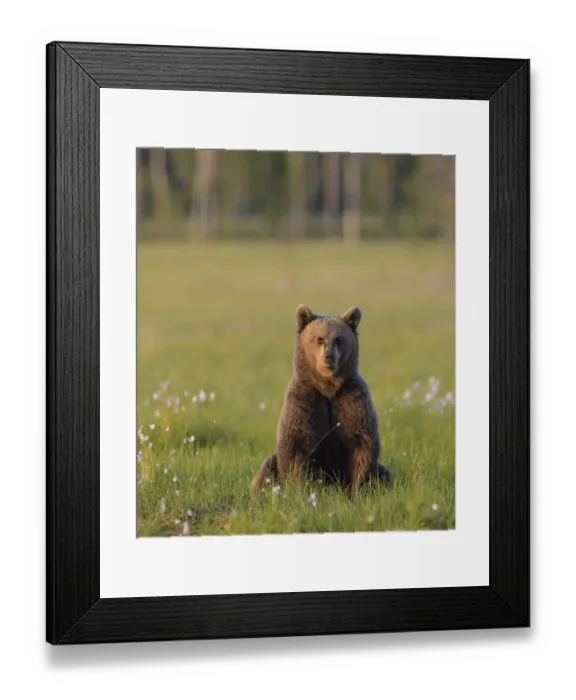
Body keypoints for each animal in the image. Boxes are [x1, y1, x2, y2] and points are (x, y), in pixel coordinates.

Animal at [250, 304, 393, 498]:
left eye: (338, 339)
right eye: (319, 339)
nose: (328, 356)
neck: (328, 388)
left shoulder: (352, 400)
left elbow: (362, 442)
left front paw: (358, 491)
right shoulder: (305, 400)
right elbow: (295, 445)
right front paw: (298, 489)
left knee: (386, 473)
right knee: (267, 467)